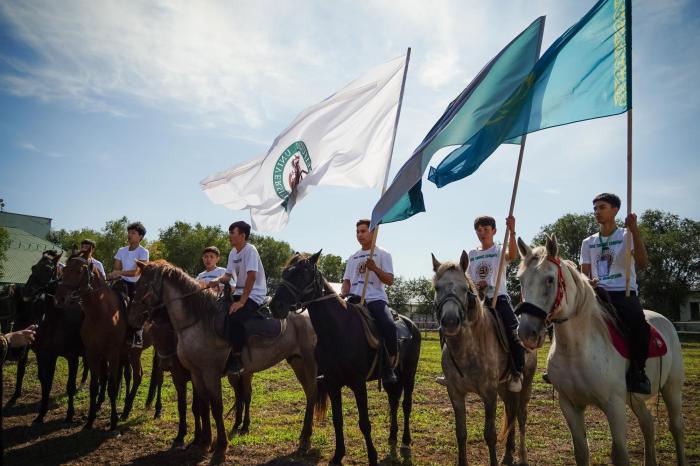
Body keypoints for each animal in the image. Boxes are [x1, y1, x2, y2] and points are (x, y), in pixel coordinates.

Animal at [54, 251, 156, 430]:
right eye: (64, 269)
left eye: (79, 271)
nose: (59, 299)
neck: (100, 313)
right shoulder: (93, 353)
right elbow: (95, 386)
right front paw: (90, 419)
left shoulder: (112, 354)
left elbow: (112, 385)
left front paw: (113, 420)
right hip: (129, 353)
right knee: (133, 376)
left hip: (137, 352)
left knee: (139, 376)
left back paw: (128, 410)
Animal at [130, 260, 318, 464]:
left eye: (143, 285)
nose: (133, 319)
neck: (199, 321)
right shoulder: (196, 374)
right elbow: (203, 406)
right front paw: (204, 443)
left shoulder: (210, 373)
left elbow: (216, 407)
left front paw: (220, 448)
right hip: (297, 361)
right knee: (309, 394)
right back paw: (303, 438)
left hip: (310, 363)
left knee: (312, 393)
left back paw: (305, 440)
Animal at [270, 253, 422, 464]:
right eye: (285, 273)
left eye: (302, 274)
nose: (275, 306)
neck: (338, 330)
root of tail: (411, 324)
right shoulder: (332, 383)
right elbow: (337, 419)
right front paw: (338, 455)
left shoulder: (358, 383)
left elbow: (364, 422)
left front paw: (372, 456)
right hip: (392, 377)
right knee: (393, 401)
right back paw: (392, 437)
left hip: (409, 373)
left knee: (407, 405)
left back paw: (405, 443)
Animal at [432, 251, 536, 466]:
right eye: (437, 288)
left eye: (465, 288)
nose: (450, 322)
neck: (466, 348)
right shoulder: (455, 392)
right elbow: (461, 432)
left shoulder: (489, 393)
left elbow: (490, 434)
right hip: (504, 387)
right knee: (511, 412)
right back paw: (508, 455)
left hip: (526, 384)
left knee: (521, 416)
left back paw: (522, 457)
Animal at [516, 237, 688, 466]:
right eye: (521, 280)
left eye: (550, 279)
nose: (527, 333)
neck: (577, 350)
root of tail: (665, 321)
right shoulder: (569, 405)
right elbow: (581, 452)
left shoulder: (614, 405)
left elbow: (620, 454)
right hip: (634, 398)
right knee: (648, 425)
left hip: (672, 388)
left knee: (676, 427)